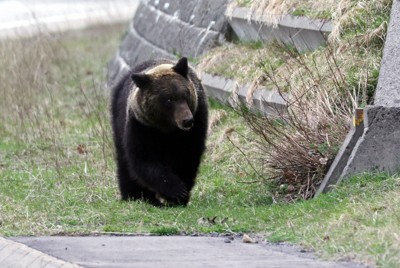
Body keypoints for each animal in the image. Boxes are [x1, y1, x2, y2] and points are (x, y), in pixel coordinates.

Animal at [110, 57, 208, 206]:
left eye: (185, 94)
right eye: (169, 99)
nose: (187, 120)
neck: (167, 129)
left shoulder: (195, 125)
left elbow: (188, 157)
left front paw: (182, 195)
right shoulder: (141, 127)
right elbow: (144, 160)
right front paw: (176, 190)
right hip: (118, 120)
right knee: (124, 162)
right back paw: (133, 195)